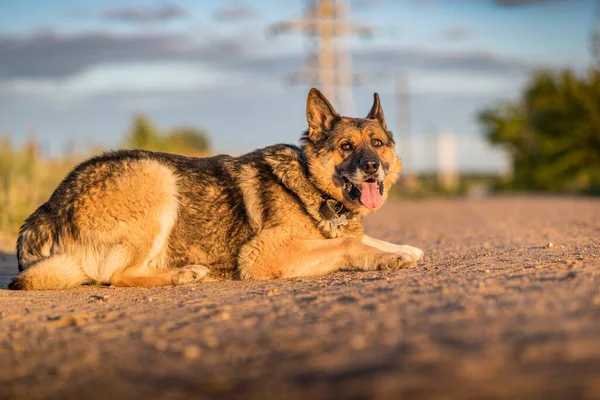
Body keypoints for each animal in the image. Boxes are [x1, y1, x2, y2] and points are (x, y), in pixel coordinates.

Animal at [9, 89, 422, 290]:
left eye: (378, 144)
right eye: (346, 147)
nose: (372, 167)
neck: (310, 183)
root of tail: (48, 207)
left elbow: (369, 239)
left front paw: (401, 249)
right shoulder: (262, 254)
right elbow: (350, 243)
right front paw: (385, 257)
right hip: (156, 174)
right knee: (116, 276)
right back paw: (182, 276)